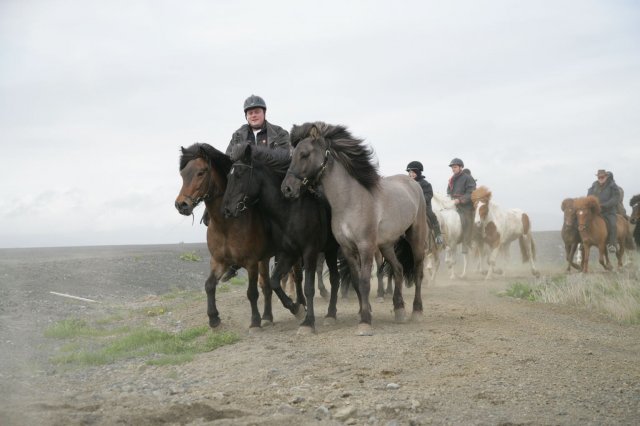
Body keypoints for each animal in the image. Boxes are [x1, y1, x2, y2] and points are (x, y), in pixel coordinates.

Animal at [175, 143, 278, 330]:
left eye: (201, 172)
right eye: (183, 174)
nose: (181, 205)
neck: (226, 223)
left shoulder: (251, 262)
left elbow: (252, 293)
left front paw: (255, 321)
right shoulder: (219, 261)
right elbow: (209, 285)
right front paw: (213, 317)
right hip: (264, 259)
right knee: (267, 286)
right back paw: (268, 315)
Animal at [221, 141, 340, 334]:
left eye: (239, 175)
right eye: (228, 176)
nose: (226, 210)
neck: (290, 210)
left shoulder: (309, 252)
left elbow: (308, 287)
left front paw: (308, 322)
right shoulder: (288, 253)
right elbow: (274, 281)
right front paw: (297, 308)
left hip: (332, 250)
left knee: (336, 279)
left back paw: (331, 313)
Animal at [282, 122, 428, 336]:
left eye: (305, 154)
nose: (287, 189)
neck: (350, 200)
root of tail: (412, 183)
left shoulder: (365, 247)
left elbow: (366, 282)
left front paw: (365, 322)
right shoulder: (348, 249)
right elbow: (358, 281)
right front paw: (363, 314)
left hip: (416, 237)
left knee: (417, 272)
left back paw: (417, 311)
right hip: (386, 245)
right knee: (399, 269)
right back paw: (399, 309)